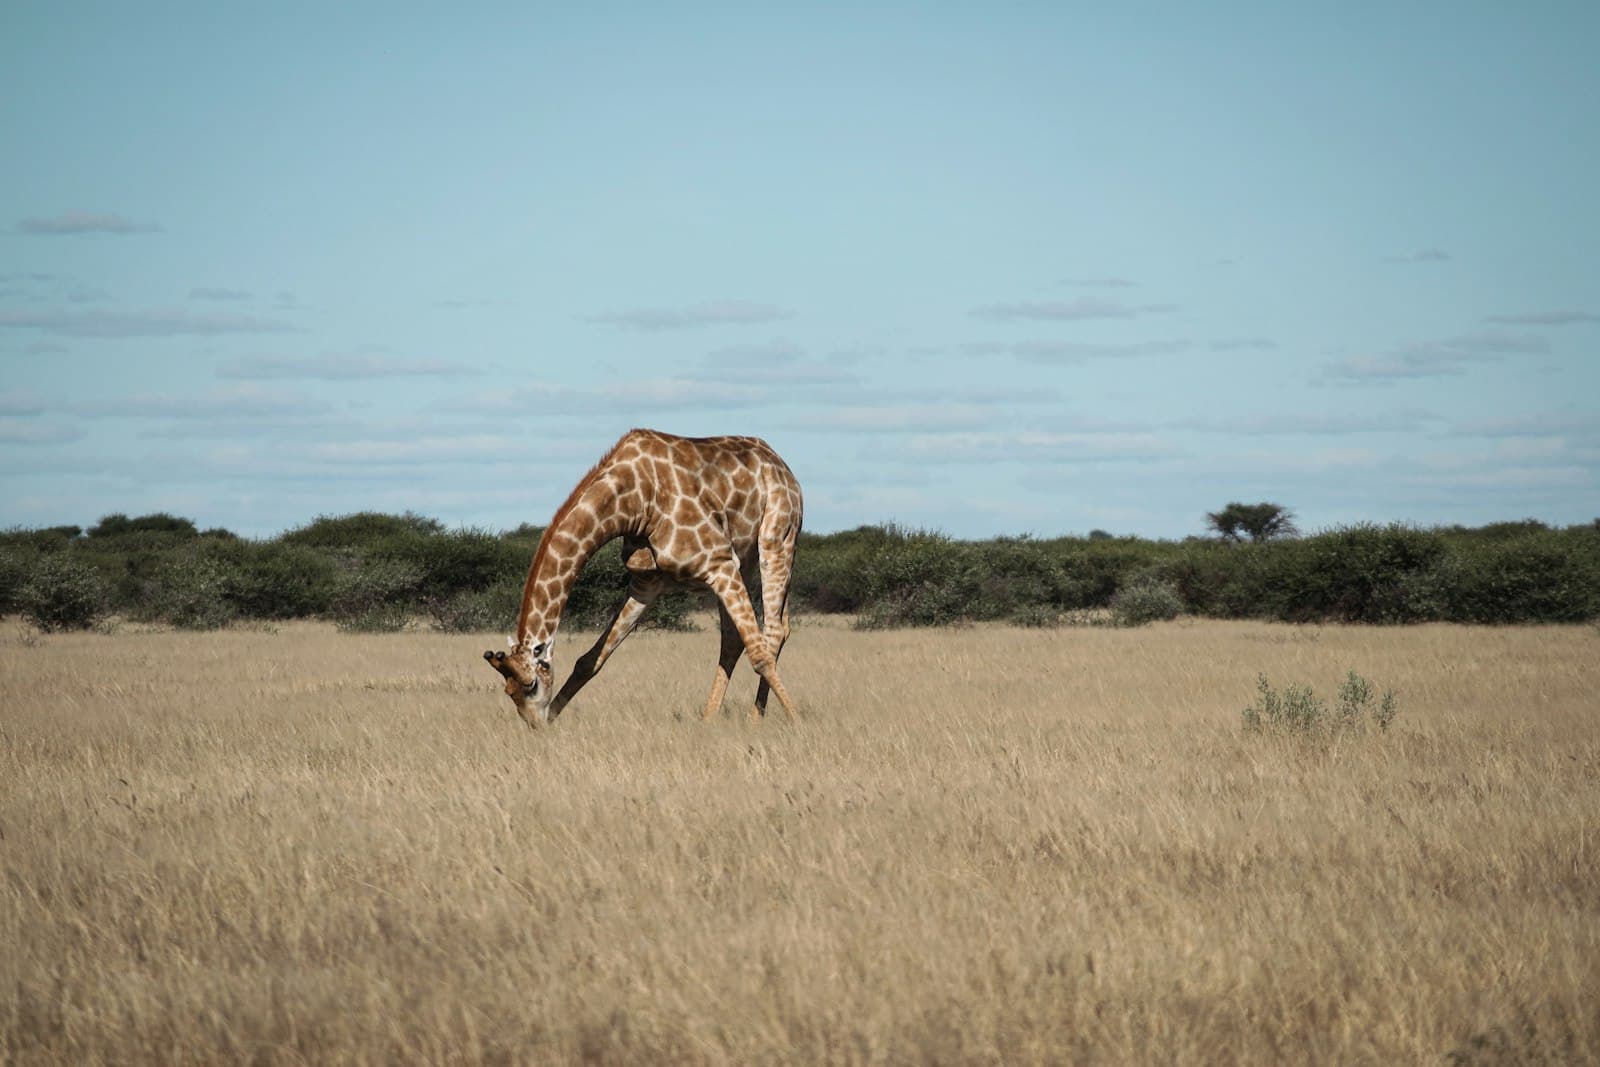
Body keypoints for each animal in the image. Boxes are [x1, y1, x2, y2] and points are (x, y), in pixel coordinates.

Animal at [484, 428, 802, 728]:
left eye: (532, 685)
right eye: (508, 692)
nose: (535, 725)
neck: (633, 502)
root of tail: (781, 465)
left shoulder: (718, 562)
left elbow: (759, 654)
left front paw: (798, 723)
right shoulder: (646, 584)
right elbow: (590, 660)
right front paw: (553, 719)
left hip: (777, 537)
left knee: (773, 630)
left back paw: (756, 717)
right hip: (743, 560)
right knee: (736, 637)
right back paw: (708, 718)